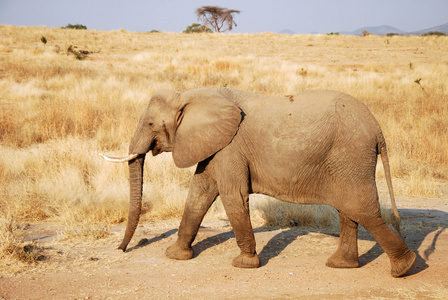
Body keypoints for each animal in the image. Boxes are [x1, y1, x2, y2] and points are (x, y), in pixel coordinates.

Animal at [100, 88, 416, 278]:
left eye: (151, 124)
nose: (122, 249)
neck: (191, 95)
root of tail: (377, 129)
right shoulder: (214, 147)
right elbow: (199, 194)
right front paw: (176, 256)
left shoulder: (230, 148)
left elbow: (232, 197)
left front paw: (244, 264)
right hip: (346, 160)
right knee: (348, 209)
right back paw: (341, 265)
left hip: (351, 155)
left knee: (359, 207)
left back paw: (404, 268)